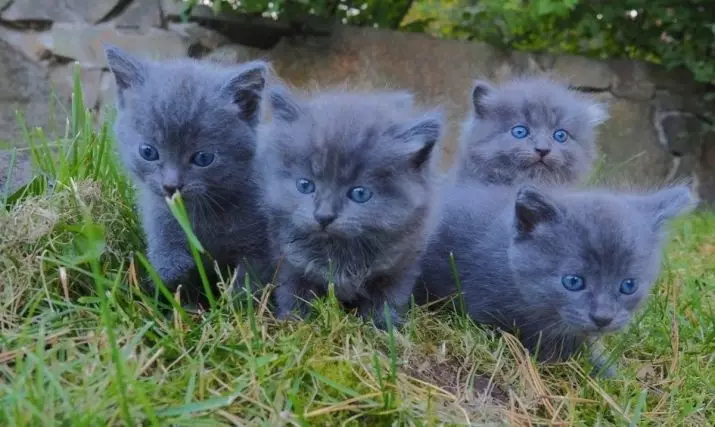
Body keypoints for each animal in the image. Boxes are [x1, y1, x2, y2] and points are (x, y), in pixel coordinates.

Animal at [105, 44, 272, 300]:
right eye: (148, 152)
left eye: (203, 158)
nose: (171, 185)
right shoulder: (158, 217)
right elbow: (168, 260)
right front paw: (174, 279)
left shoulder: (262, 244)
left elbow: (251, 279)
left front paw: (236, 300)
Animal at [258, 86, 444, 328]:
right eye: (305, 185)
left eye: (360, 193)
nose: (324, 216)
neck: (338, 253)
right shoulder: (289, 263)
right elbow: (294, 294)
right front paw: (294, 322)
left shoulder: (401, 265)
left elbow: (388, 300)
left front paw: (384, 327)